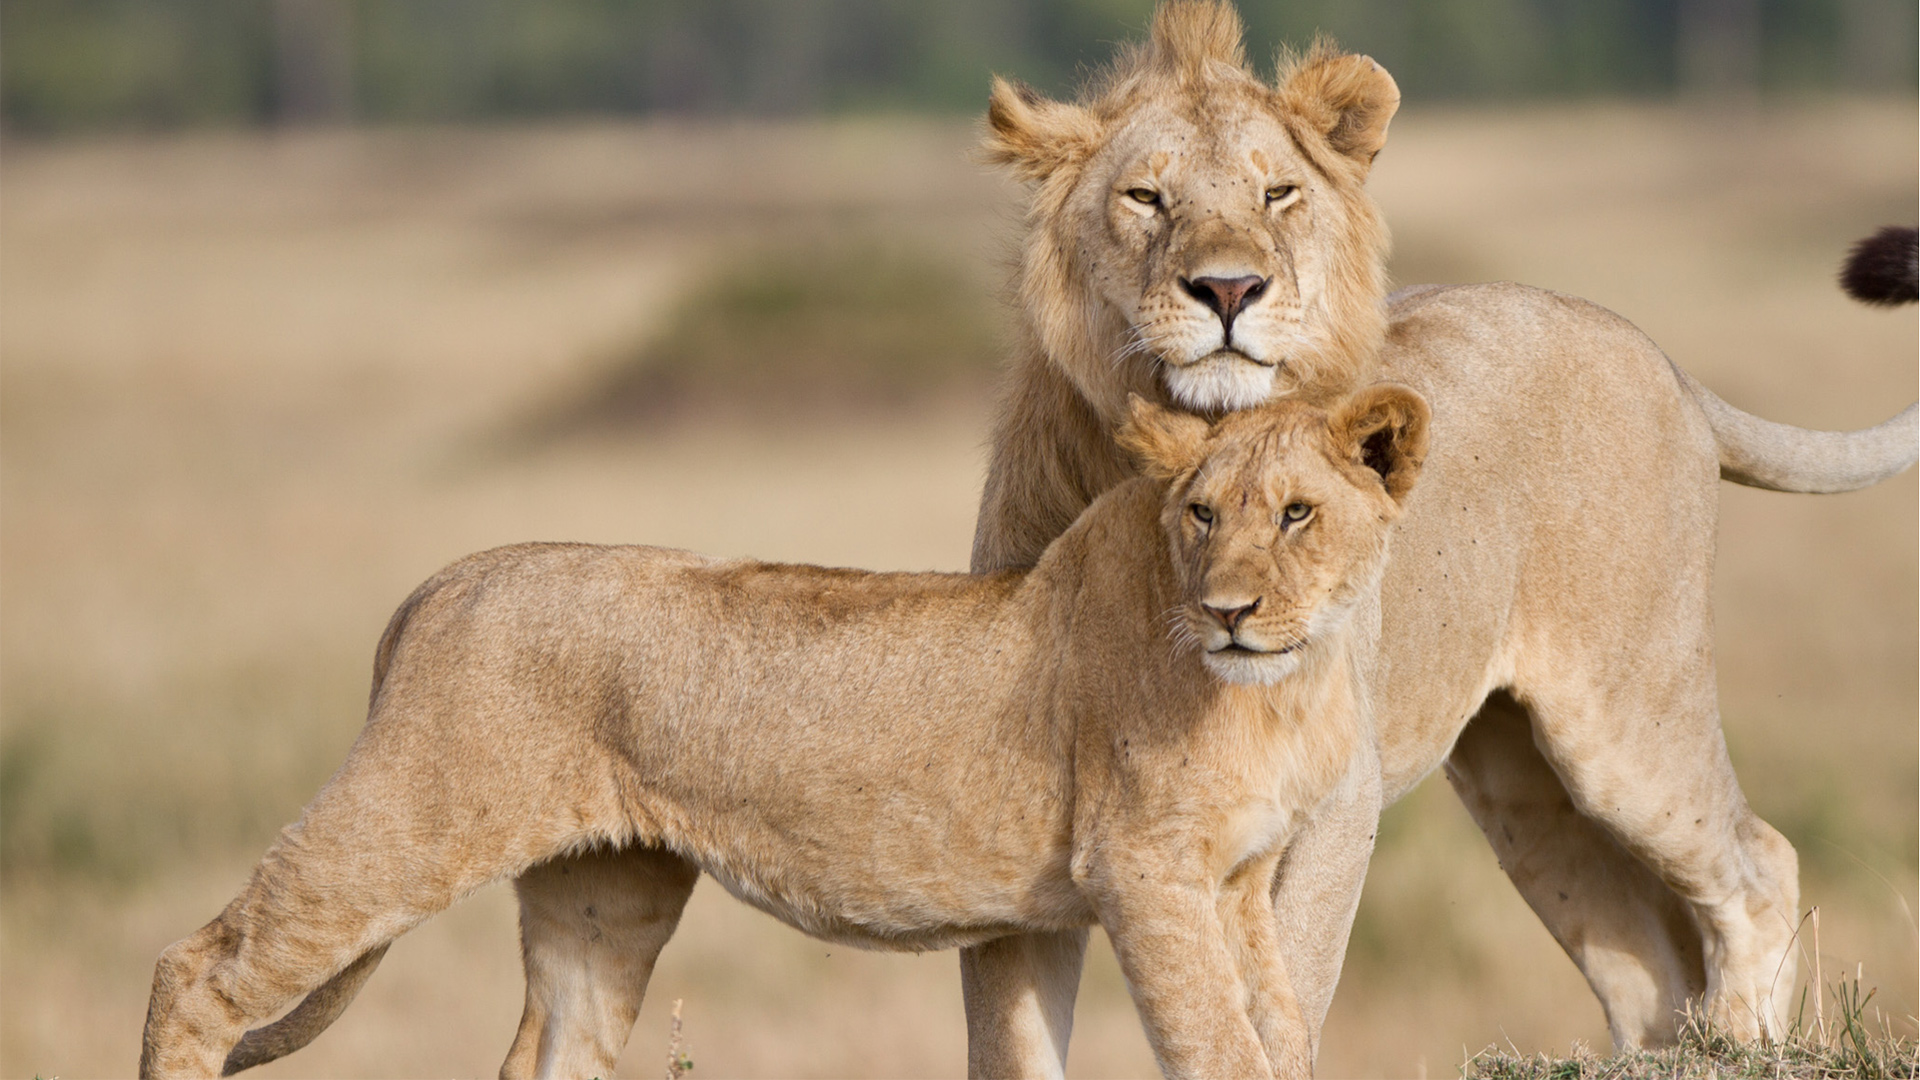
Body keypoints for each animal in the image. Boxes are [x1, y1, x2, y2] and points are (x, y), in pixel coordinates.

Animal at [142, 382, 1428, 1068]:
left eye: (1297, 514)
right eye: (1201, 514)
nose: (1228, 611)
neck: (1287, 686)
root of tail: (452, 574)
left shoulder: (1239, 882)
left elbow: (1277, 1029)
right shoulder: (1143, 871)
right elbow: (1217, 1043)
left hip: (605, 897)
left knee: (549, 1050)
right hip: (412, 816)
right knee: (197, 968)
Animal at [960, 4, 1920, 1068]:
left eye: (1278, 192)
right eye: (1145, 197)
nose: (1230, 290)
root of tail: (1661, 355)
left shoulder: (1336, 798)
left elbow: (1289, 979)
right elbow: (1008, 1035)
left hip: (1626, 720)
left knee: (1759, 863)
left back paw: (1745, 1043)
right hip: (1523, 787)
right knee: (1643, 963)